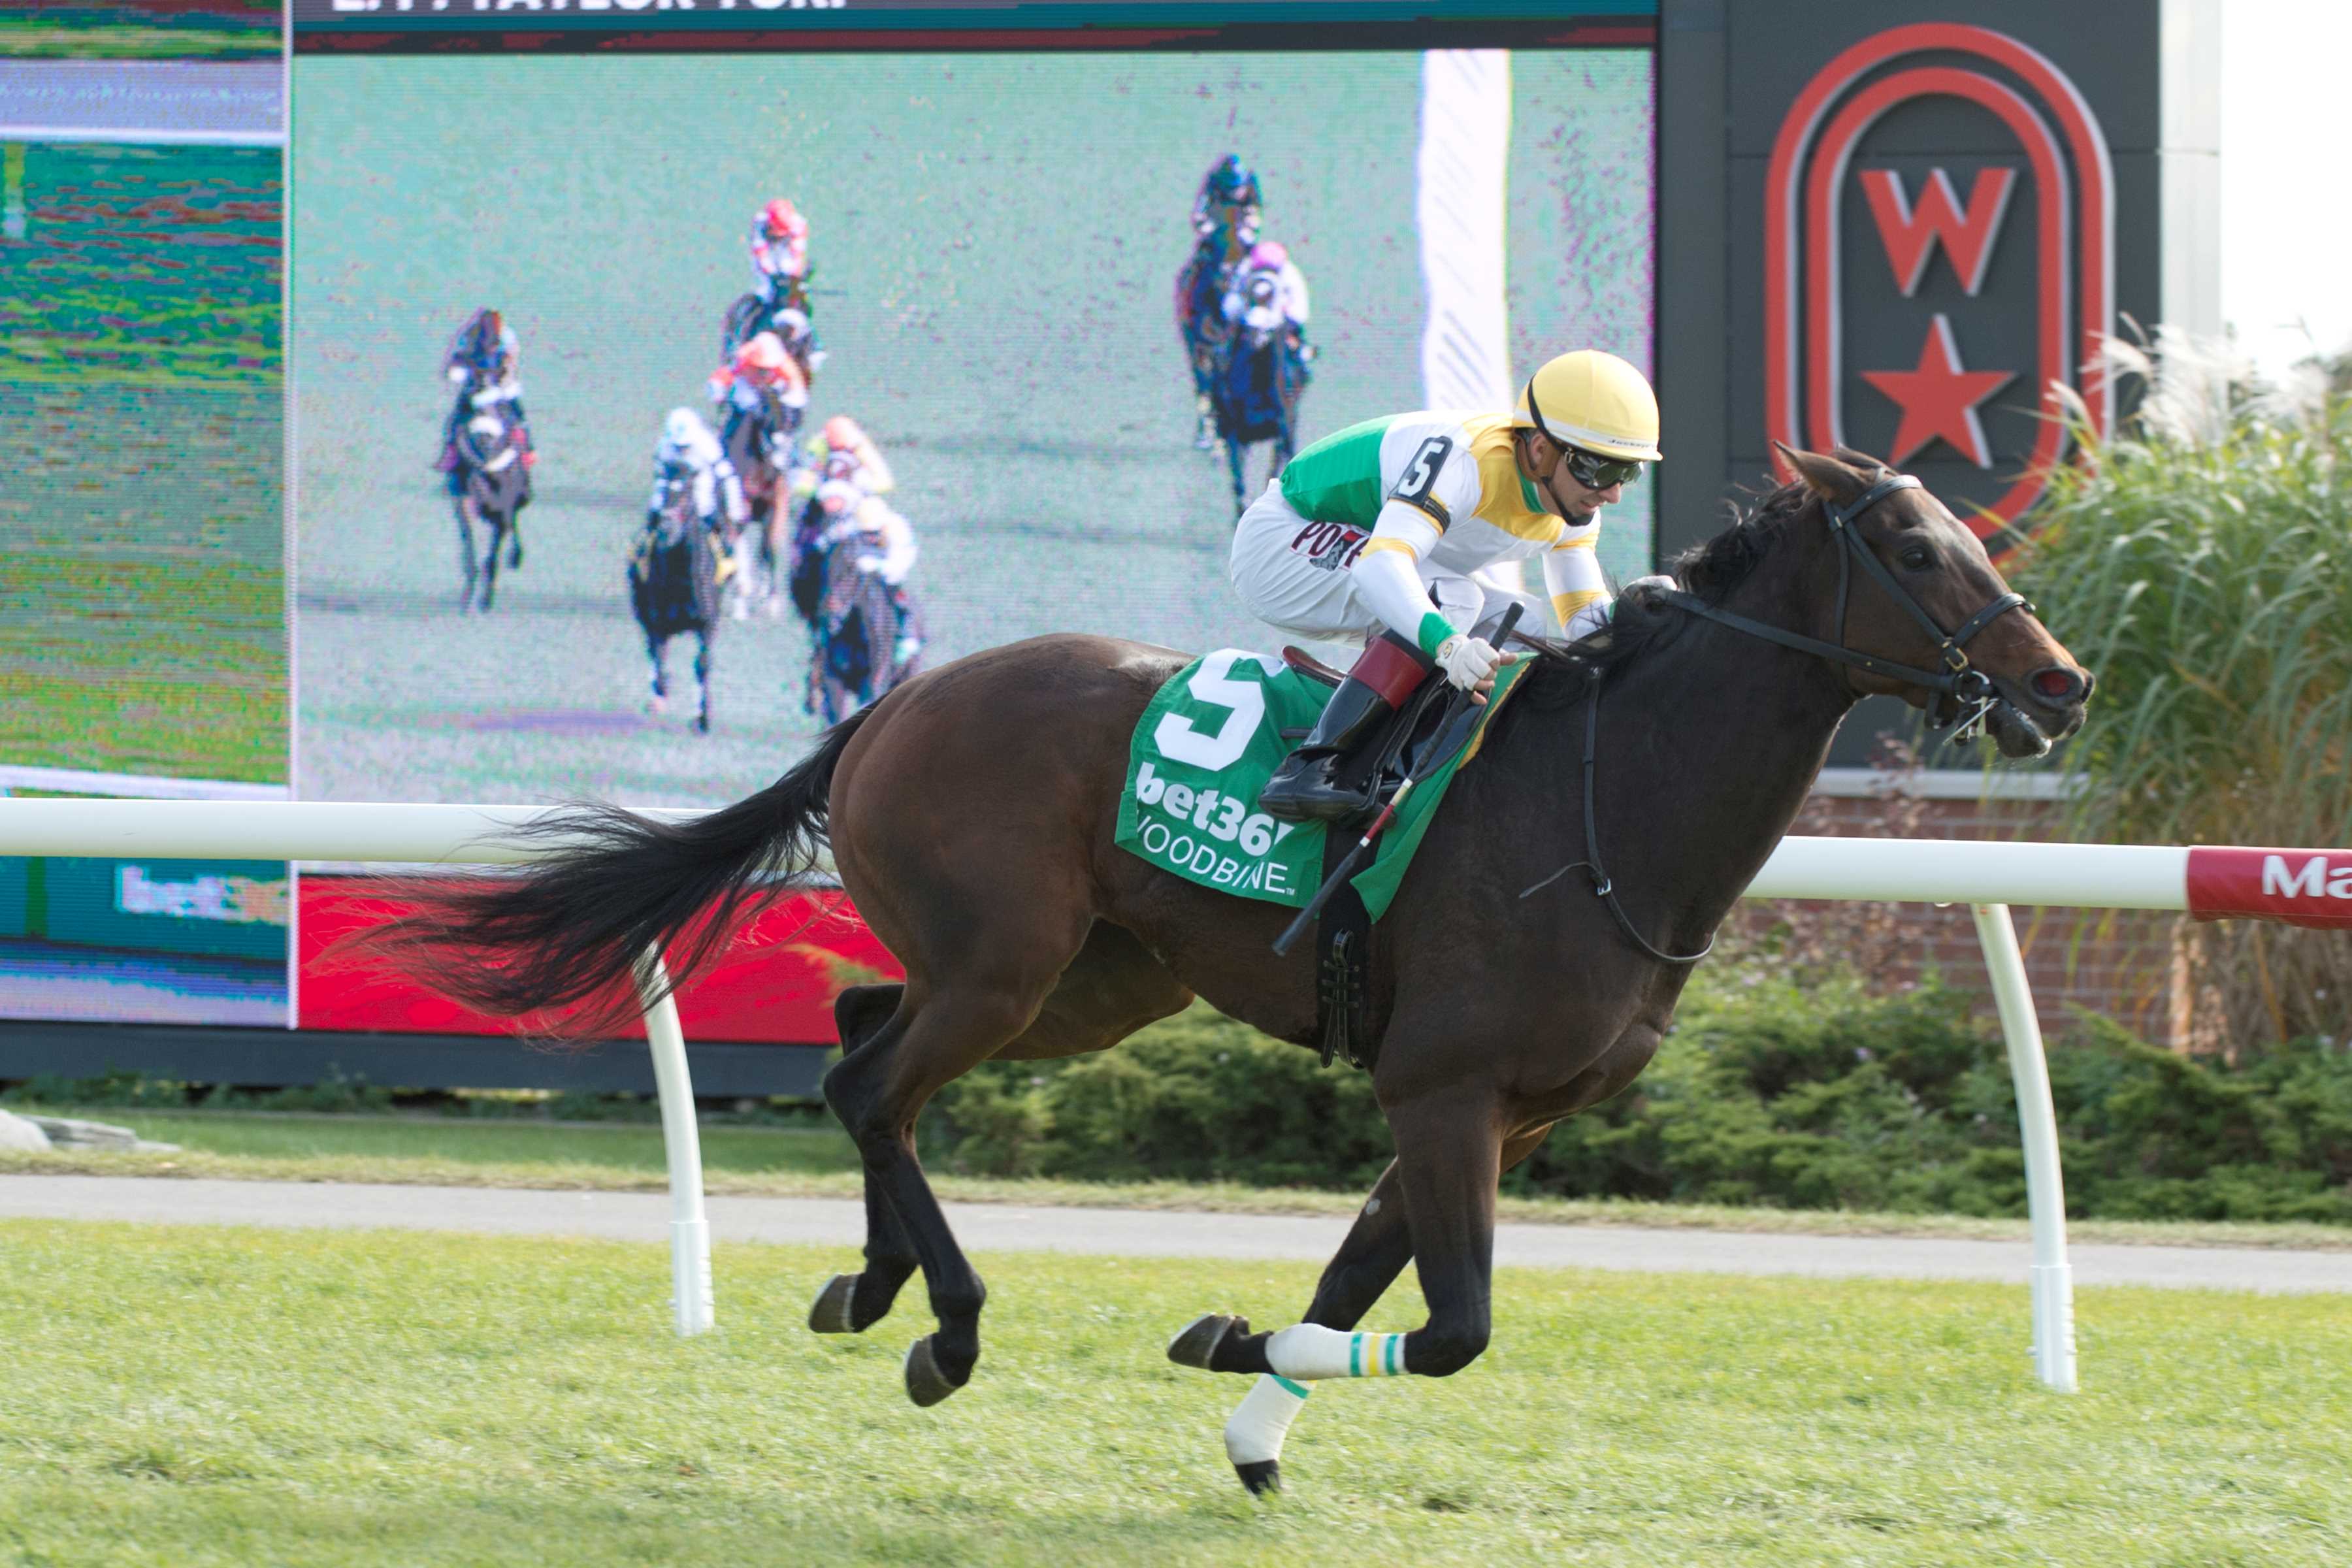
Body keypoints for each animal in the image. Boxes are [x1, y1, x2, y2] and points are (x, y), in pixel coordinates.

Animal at [367, 451, 2098, 1495]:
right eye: (1919, 548)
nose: (2061, 680)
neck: (1605, 808)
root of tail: (896, 696)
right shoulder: (1444, 1086)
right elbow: (1452, 1325)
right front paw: (1223, 1345)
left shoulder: (1502, 1107)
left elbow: (1359, 1281)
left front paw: (1253, 1415)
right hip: (1010, 966)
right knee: (872, 1082)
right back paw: (949, 1322)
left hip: (1091, 984)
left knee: (865, 1040)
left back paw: (870, 1283)